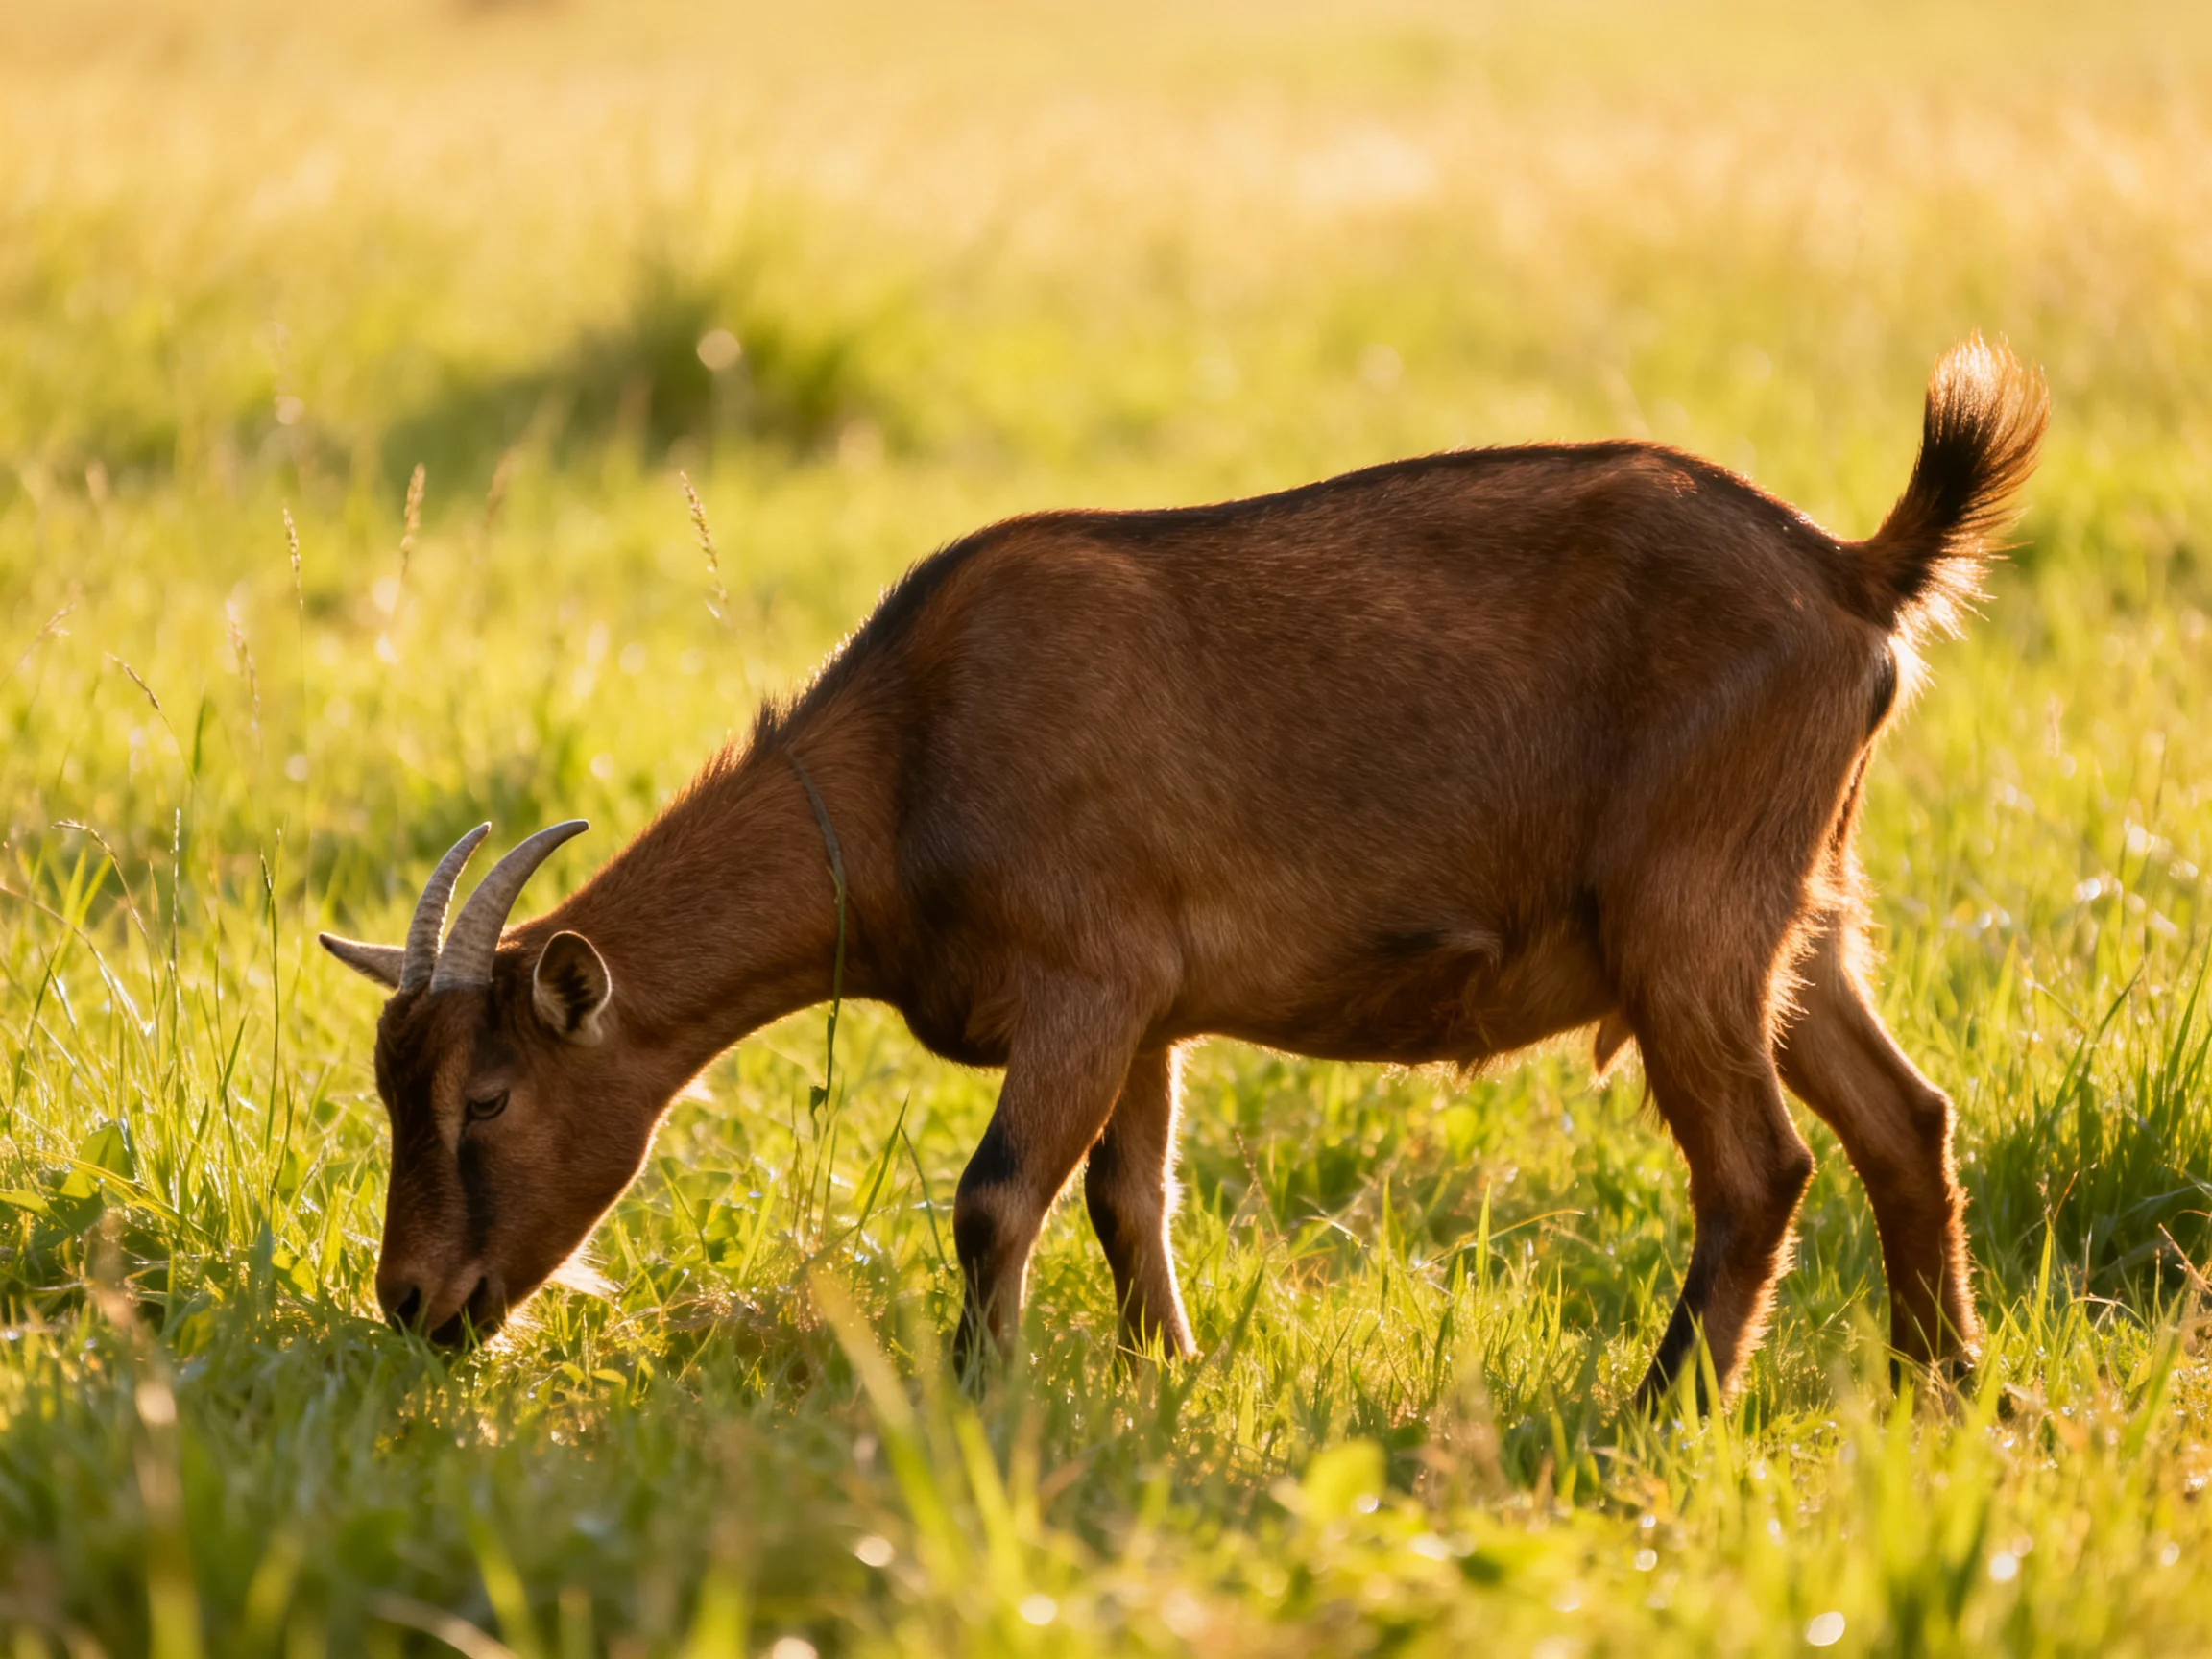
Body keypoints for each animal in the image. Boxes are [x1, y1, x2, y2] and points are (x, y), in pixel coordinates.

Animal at [322, 338, 2044, 1404]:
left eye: (487, 1099)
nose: (411, 1303)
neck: (906, 758)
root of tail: (1851, 574)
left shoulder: (1084, 984)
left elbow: (997, 1196)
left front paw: (980, 1402)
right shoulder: (1148, 1010)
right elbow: (1121, 1195)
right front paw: (1170, 1373)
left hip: (1687, 918)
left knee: (1759, 1168)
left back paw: (1661, 1410)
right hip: (1799, 914)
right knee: (1904, 1119)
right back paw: (1940, 1385)